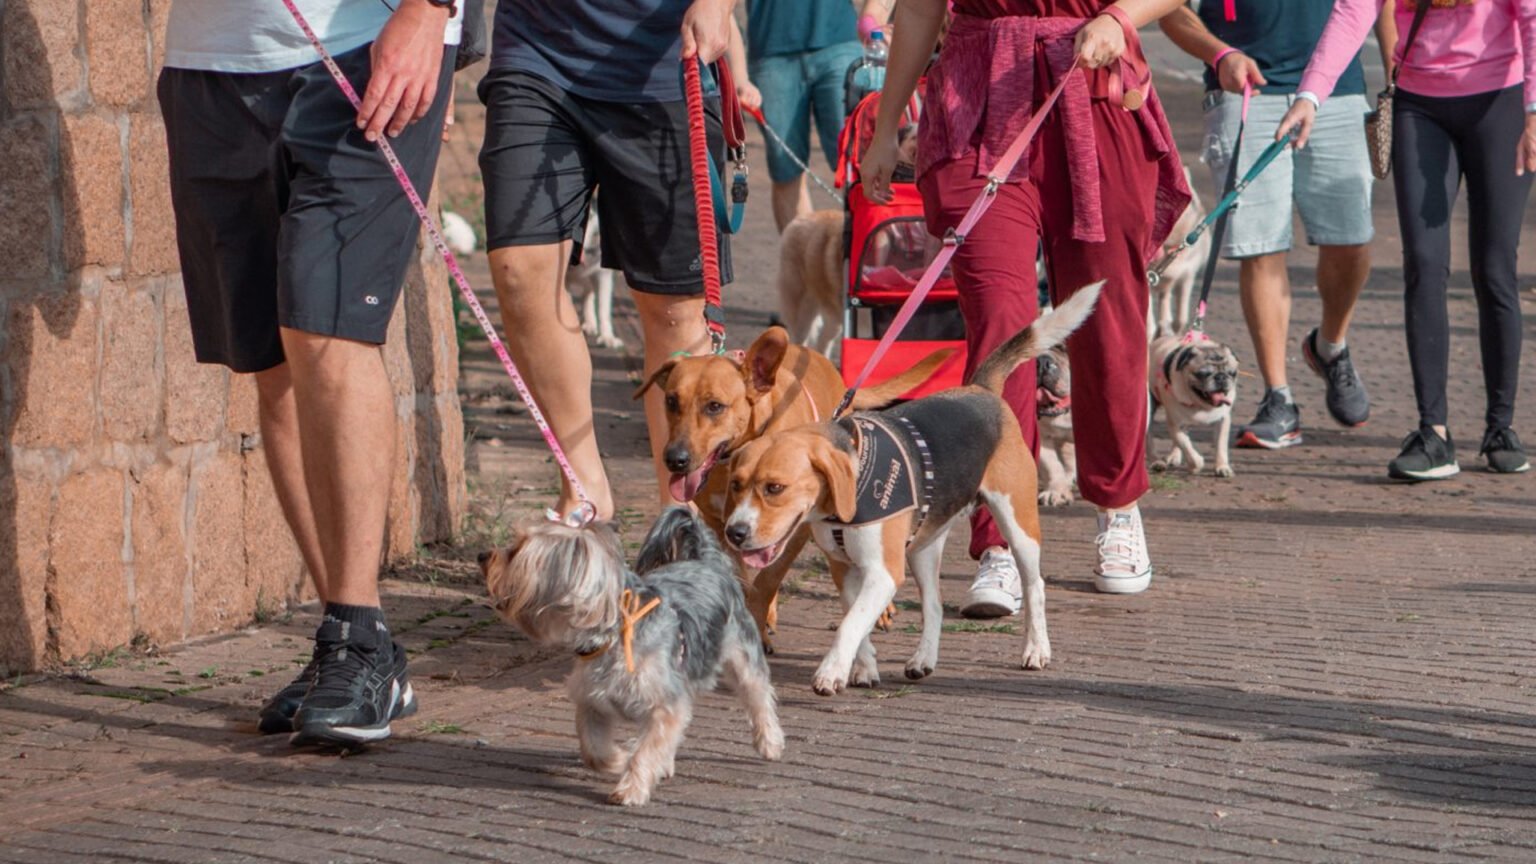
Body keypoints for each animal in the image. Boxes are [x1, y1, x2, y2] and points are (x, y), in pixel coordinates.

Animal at [632, 325, 946, 648]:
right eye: (671, 401)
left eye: (715, 406)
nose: (675, 460)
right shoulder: (722, 527)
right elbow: (746, 579)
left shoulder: (798, 527)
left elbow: (768, 579)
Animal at [721, 282, 1105, 691]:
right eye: (736, 484)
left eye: (775, 488)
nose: (735, 533)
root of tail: (980, 389)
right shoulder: (846, 569)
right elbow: (858, 624)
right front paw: (864, 669)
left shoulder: (883, 571)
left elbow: (849, 625)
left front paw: (830, 672)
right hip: (924, 544)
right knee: (934, 605)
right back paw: (923, 659)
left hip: (1018, 523)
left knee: (1035, 588)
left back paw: (1036, 649)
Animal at [1155, 330, 1234, 476]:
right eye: (1203, 374)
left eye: (1232, 373)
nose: (1221, 377)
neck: (1200, 404)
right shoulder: (1175, 424)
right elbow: (1185, 444)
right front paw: (1195, 465)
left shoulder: (1223, 420)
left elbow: (1221, 444)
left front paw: (1222, 467)